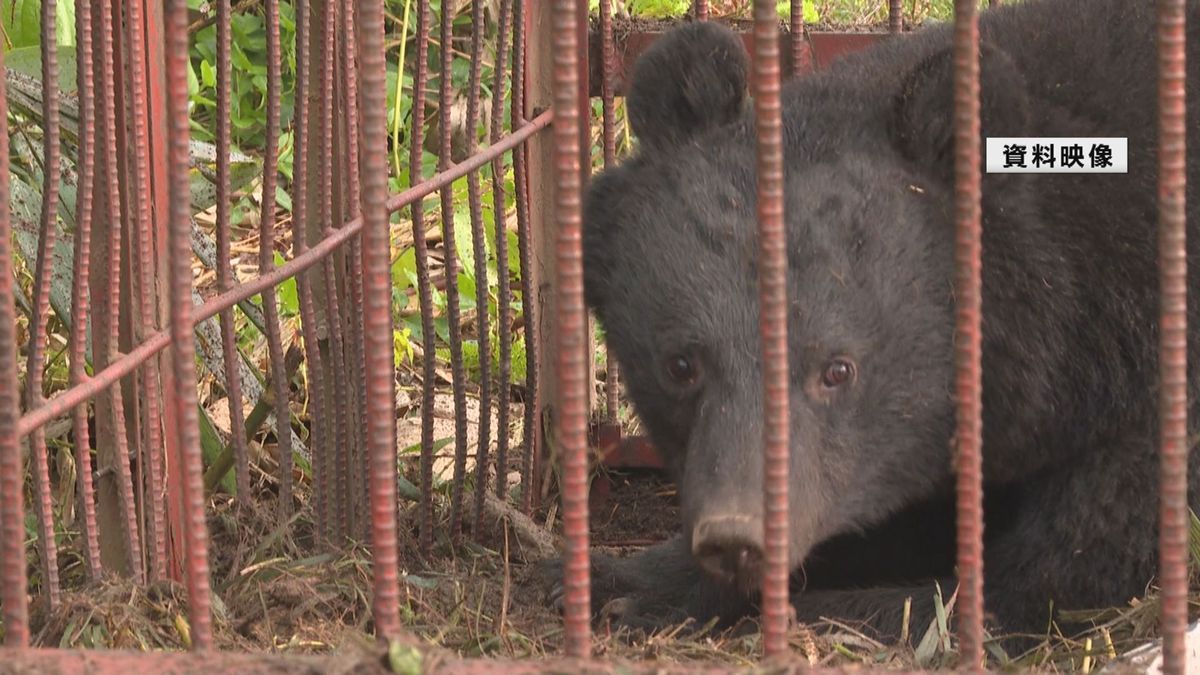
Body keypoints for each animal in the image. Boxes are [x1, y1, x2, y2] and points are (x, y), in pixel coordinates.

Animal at [549, 0, 1200, 643]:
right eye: (681, 364)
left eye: (838, 370)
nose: (736, 538)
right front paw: (624, 581)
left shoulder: (1149, 389)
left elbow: (1076, 562)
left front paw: (829, 612)